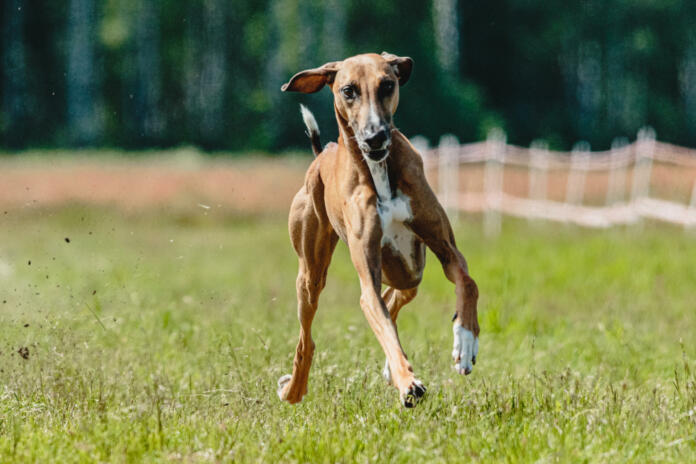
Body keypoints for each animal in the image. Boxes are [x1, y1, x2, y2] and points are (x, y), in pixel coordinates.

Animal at [276, 51, 478, 406]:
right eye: (348, 90)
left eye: (387, 84)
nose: (375, 137)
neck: (379, 170)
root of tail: (323, 154)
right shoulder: (367, 274)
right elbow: (382, 322)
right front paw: (408, 382)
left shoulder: (446, 250)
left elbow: (468, 283)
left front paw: (465, 344)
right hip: (310, 276)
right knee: (306, 339)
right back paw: (294, 389)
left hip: (410, 269)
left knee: (396, 295)